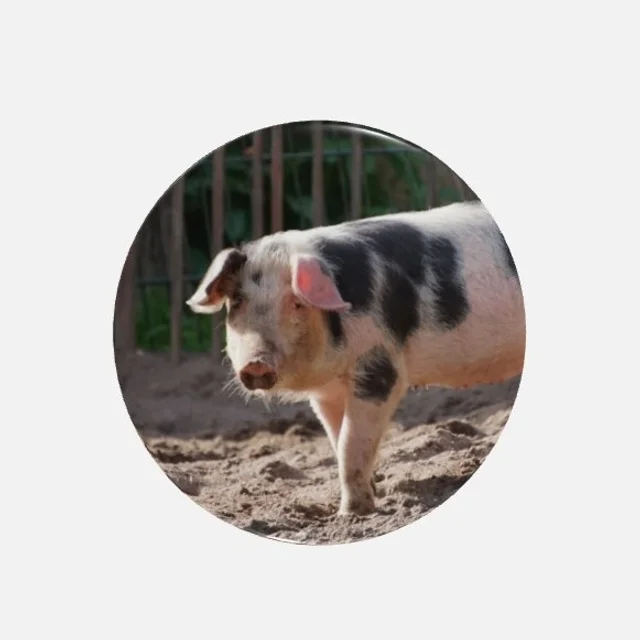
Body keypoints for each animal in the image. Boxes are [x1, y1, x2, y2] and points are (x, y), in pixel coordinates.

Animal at [187, 200, 525, 516]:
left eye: (296, 303)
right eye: (237, 302)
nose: (256, 362)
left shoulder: (379, 368)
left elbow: (351, 445)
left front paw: (350, 514)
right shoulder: (326, 392)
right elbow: (338, 442)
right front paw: (370, 494)